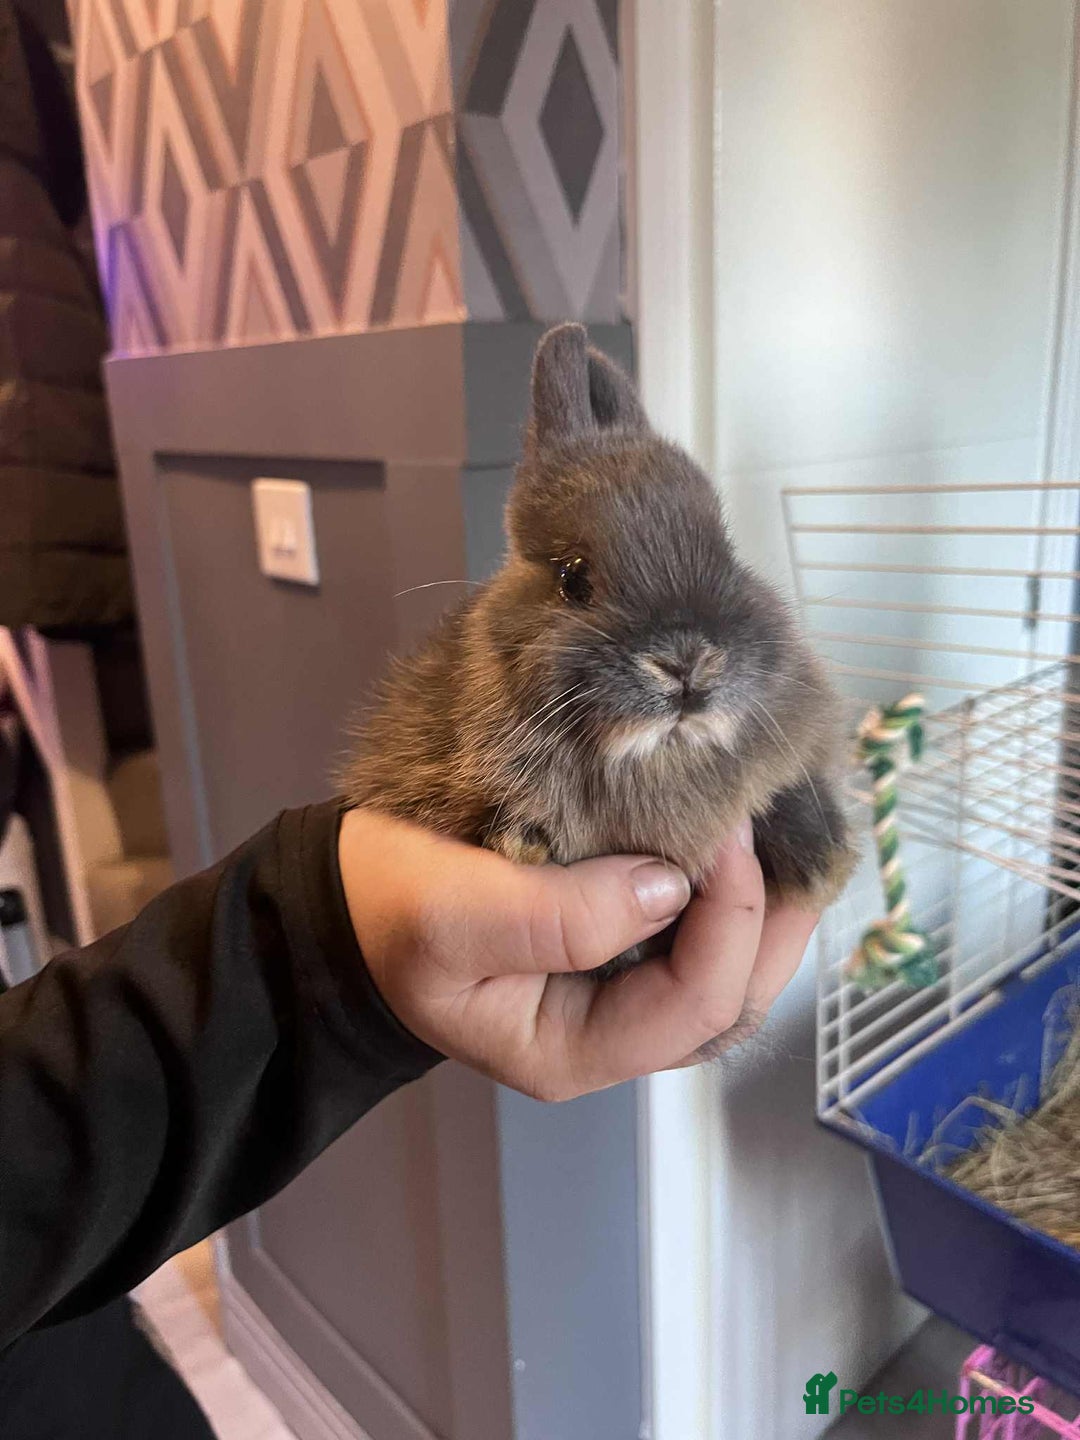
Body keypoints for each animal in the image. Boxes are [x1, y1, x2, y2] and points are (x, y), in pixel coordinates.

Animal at [343, 322, 856, 972]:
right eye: (573, 578)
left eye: (727, 553)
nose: (687, 663)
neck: (660, 756)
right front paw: (523, 842)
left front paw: (823, 866)